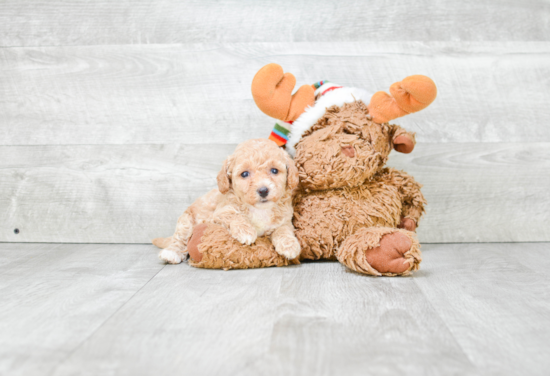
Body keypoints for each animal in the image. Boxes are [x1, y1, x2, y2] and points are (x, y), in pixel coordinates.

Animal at [155, 138, 302, 264]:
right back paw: (171, 253)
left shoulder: (285, 220)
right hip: (186, 221)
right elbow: (234, 215)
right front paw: (246, 231)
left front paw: (289, 246)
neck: (259, 209)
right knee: (180, 239)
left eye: (274, 170)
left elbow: (284, 230)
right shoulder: (218, 214)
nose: (263, 190)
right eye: (244, 174)